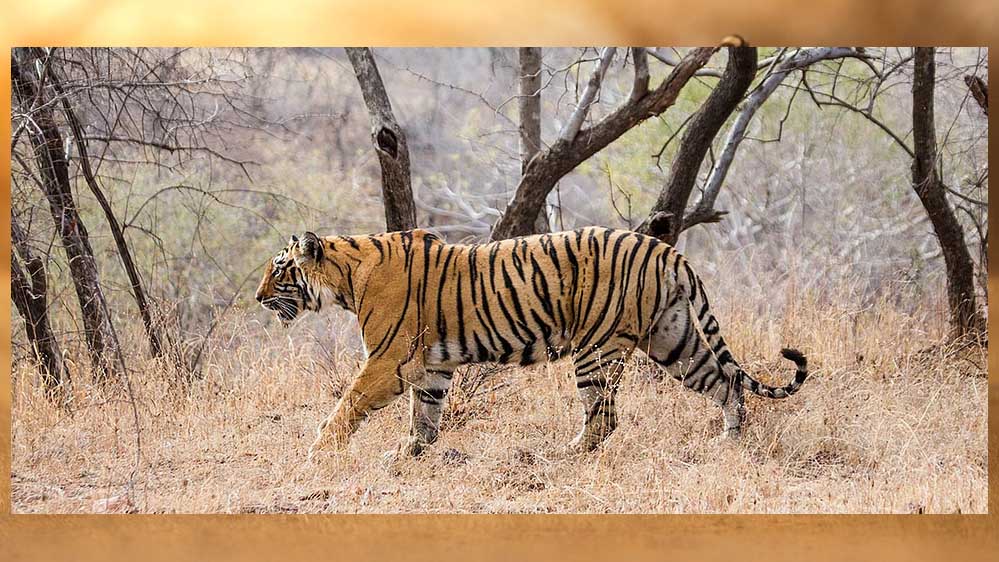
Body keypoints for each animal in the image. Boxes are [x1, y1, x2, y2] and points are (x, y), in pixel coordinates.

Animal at [254, 227, 809, 461]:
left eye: (279, 272)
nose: (258, 299)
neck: (346, 276)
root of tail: (664, 248)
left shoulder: (387, 361)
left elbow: (346, 405)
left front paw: (318, 451)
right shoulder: (430, 366)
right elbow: (425, 414)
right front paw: (409, 453)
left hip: (597, 349)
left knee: (604, 418)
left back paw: (566, 454)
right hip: (674, 340)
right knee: (724, 384)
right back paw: (729, 442)